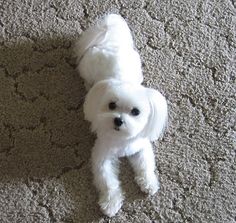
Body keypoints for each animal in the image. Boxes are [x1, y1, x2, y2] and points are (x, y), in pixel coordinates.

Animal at [74, 13, 167, 216]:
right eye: (112, 105)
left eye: (135, 112)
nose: (118, 120)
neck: (121, 140)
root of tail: (108, 42)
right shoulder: (102, 156)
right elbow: (107, 182)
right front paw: (111, 203)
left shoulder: (141, 147)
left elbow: (145, 166)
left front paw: (149, 183)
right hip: (87, 69)